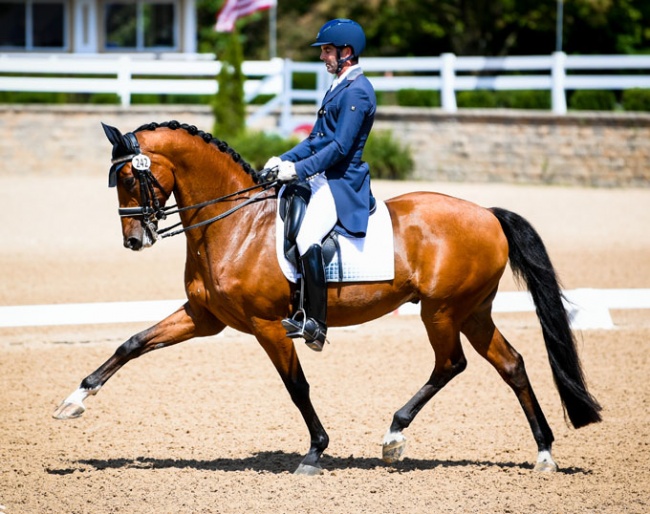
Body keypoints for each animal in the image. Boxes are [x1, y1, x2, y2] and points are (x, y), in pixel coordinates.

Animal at [53, 119, 600, 472]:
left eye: (130, 176)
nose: (134, 240)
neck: (234, 224)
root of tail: (487, 213)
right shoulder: (205, 317)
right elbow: (133, 343)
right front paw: (73, 401)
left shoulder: (268, 326)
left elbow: (297, 387)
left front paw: (315, 451)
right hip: (472, 310)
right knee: (510, 364)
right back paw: (544, 454)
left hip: (443, 310)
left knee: (452, 364)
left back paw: (394, 437)